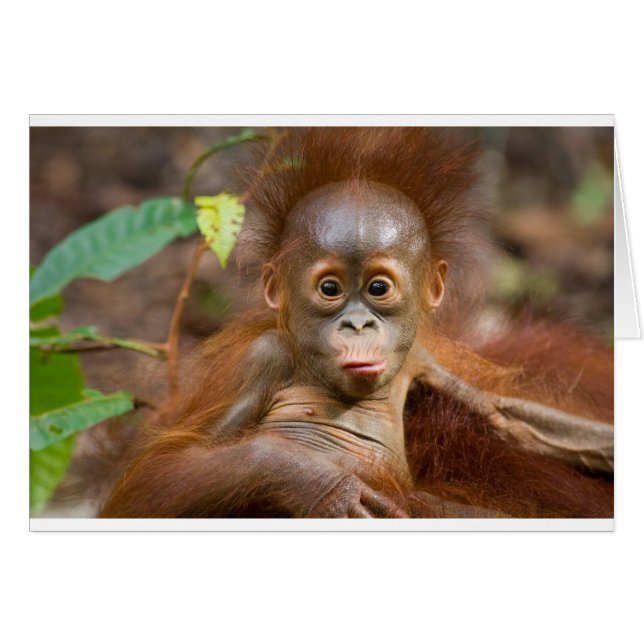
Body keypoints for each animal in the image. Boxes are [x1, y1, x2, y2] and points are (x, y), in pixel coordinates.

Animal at [100, 127, 613, 519]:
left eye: (378, 288)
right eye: (330, 288)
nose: (358, 325)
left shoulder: (421, 357)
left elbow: (505, 416)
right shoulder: (261, 358)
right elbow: (154, 480)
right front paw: (316, 483)